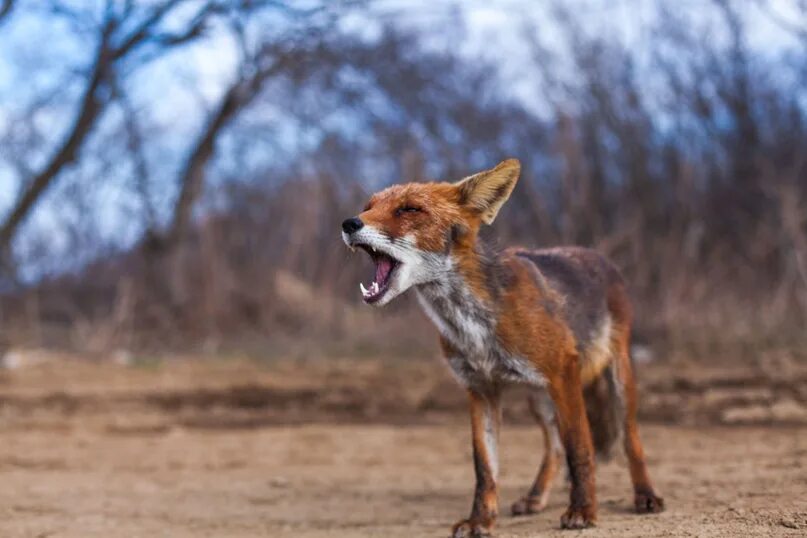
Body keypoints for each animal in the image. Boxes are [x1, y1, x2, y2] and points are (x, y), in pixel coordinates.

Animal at [340, 159, 664, 536]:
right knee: (554, 447)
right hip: (539, 397)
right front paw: (481, 520)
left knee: (629, 439)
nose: (349, 223)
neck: (472, 325)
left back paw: (645, 495)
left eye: (409, 209)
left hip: (613, 380)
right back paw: (535, 498)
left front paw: (583, 511)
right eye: (368, 207)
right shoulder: (480, 389)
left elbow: (580, 447)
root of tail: (598, 255)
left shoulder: (563, 371)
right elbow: (485, 467)